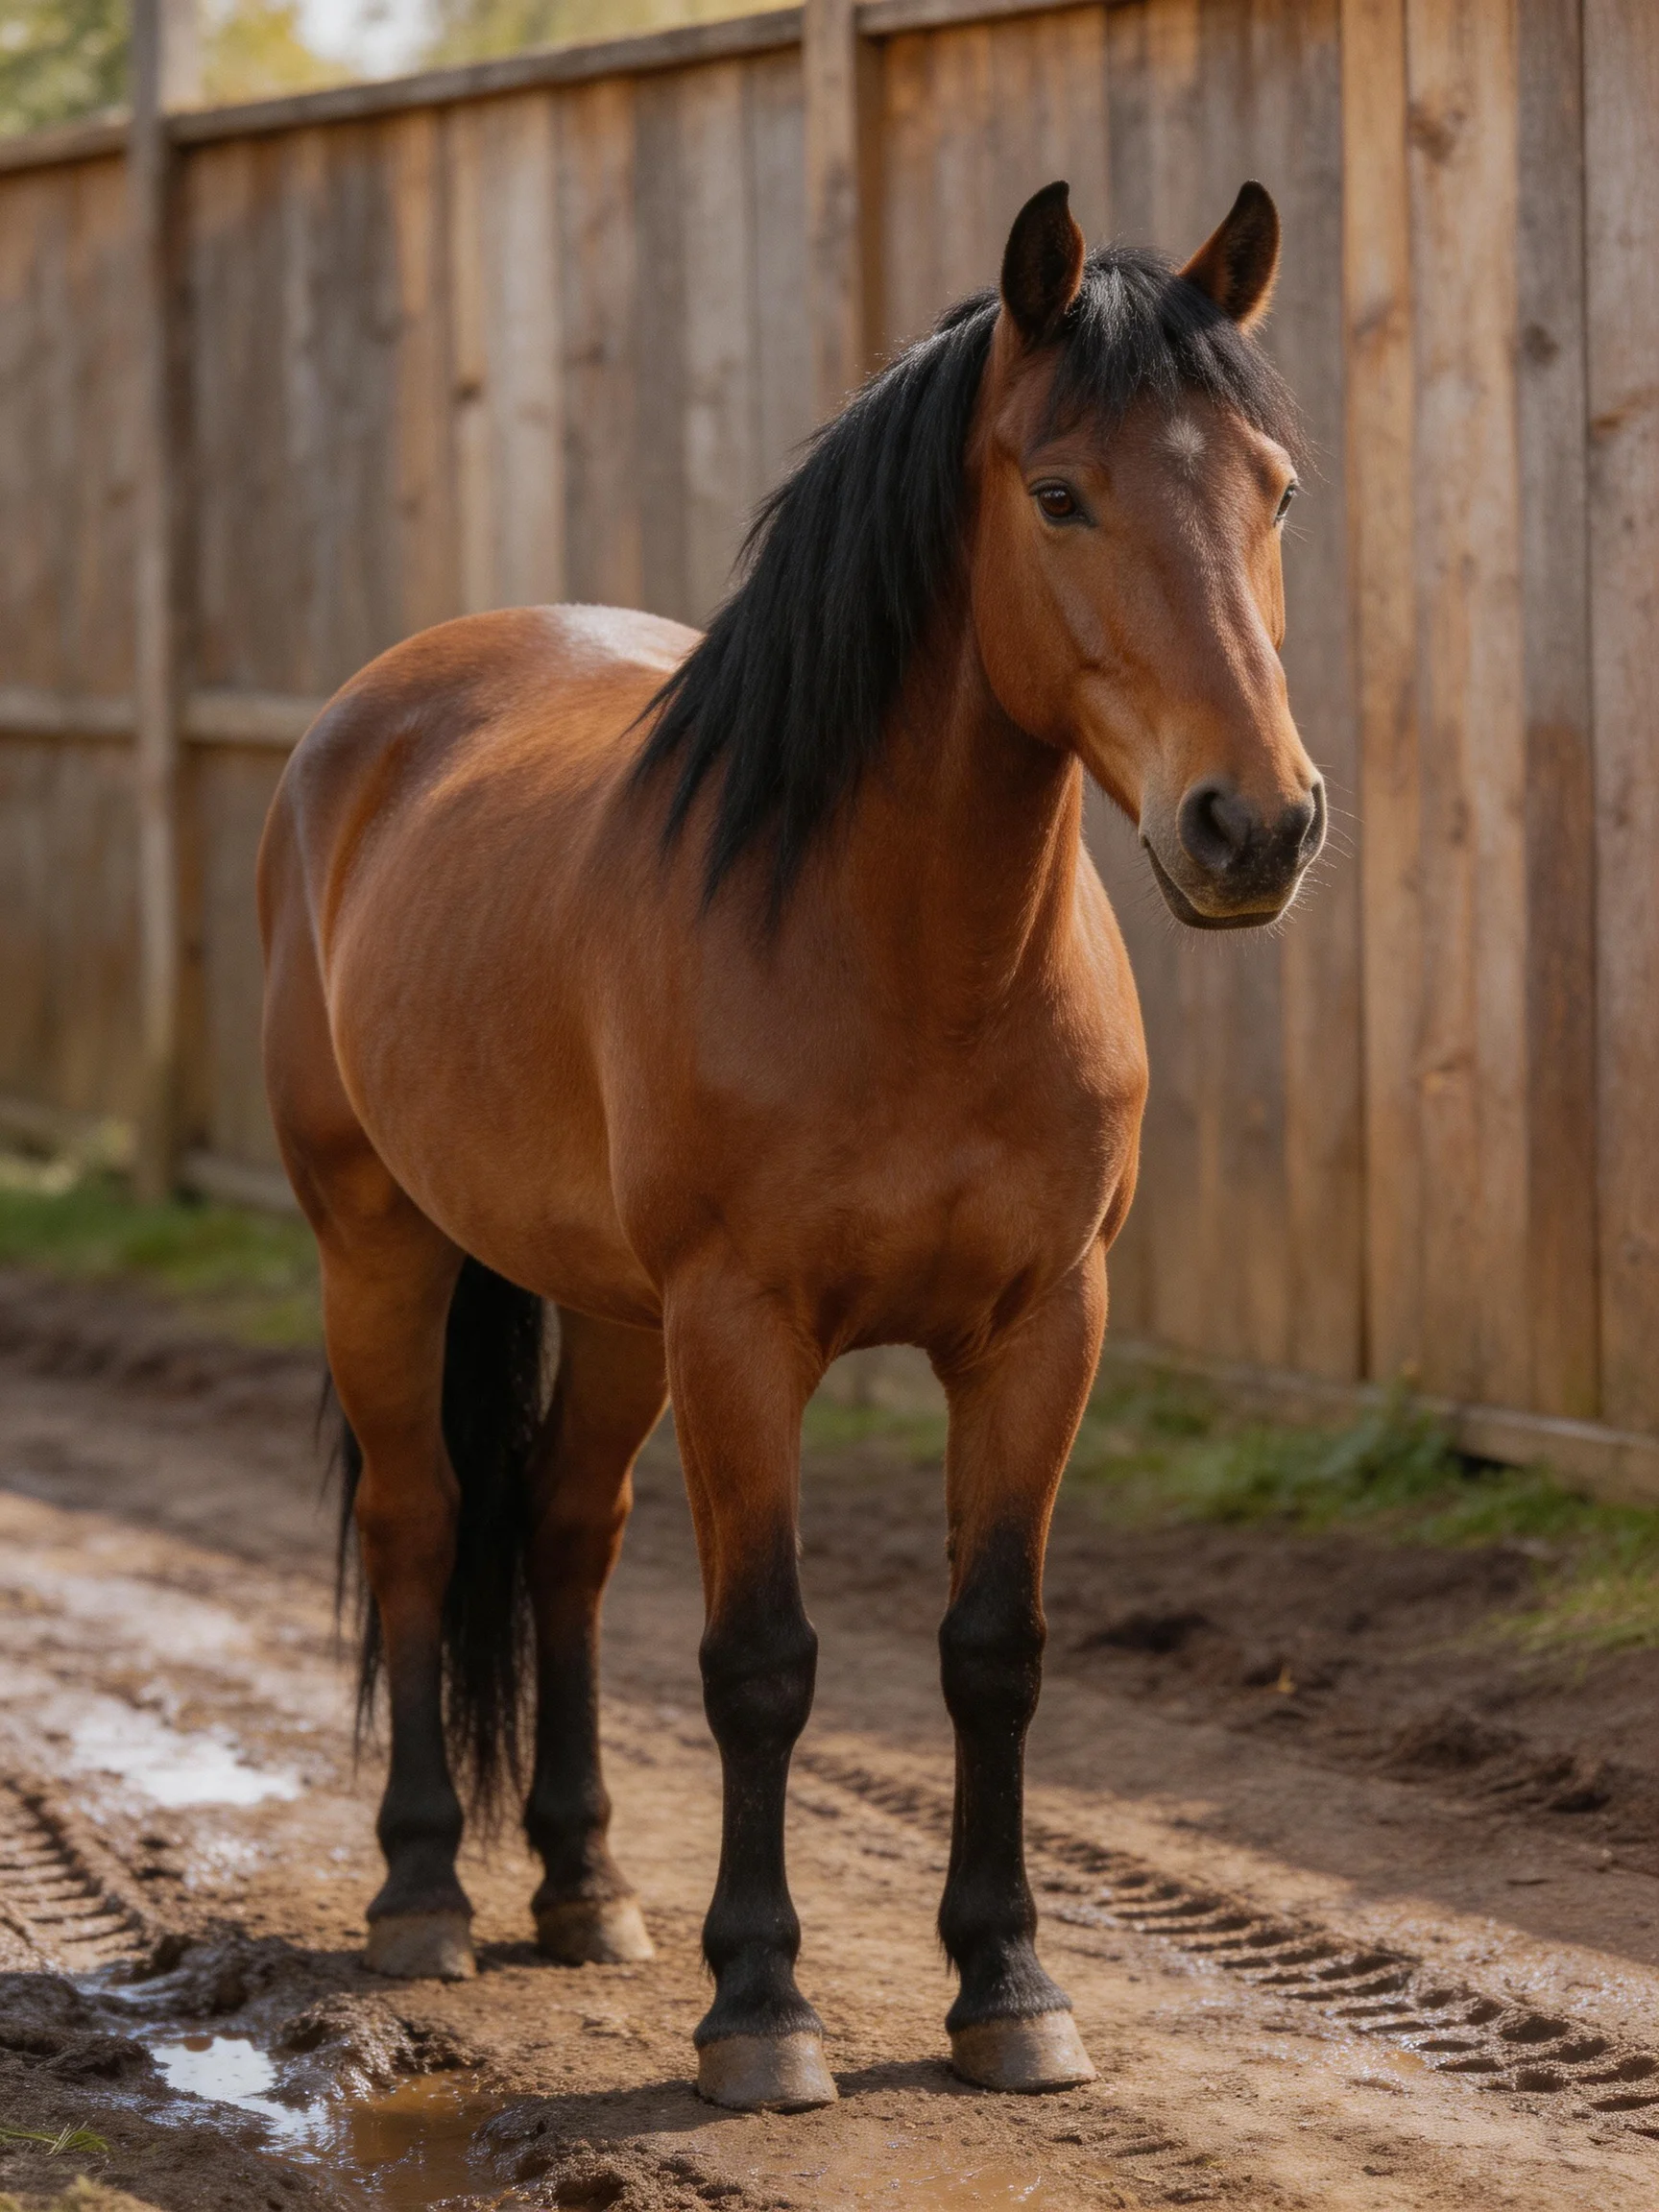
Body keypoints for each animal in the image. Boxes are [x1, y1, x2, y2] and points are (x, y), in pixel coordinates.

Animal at [258, 175, 1322, 2113]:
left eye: (1275, 489)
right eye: (1059, 493)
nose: (1255, 824)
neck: (910, 957)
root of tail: (372, 717)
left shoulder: (1042, 1330)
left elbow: (993, 1653)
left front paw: (1009, 1987)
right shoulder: (744, 1333)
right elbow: (759, 1661)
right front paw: (759, 2005)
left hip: (611, 1316)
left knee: (567, 1534)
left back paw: (584, 1886)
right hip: (380, 1248)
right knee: (425, 1523)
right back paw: (426, 1890)